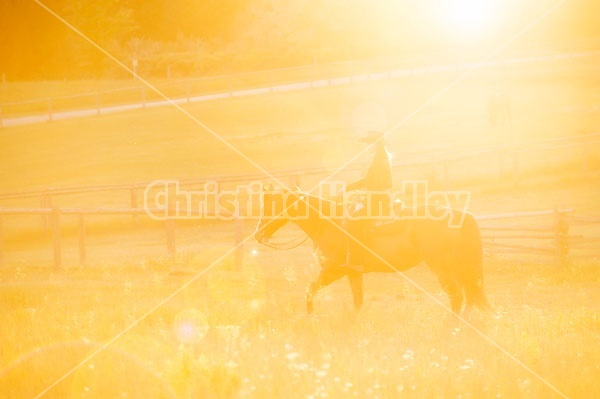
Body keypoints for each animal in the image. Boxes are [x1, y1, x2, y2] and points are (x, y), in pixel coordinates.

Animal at [253, 188, 492, 318]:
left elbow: (309, 291)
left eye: (270, 207)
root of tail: (460, 215)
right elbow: (358, 301)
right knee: (469, 295)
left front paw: (311, 318)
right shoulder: (353, 273)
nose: (258, 234)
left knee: (457, 295)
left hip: (442, 267)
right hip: (458, 267)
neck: (328, 222)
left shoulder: (333, 271)